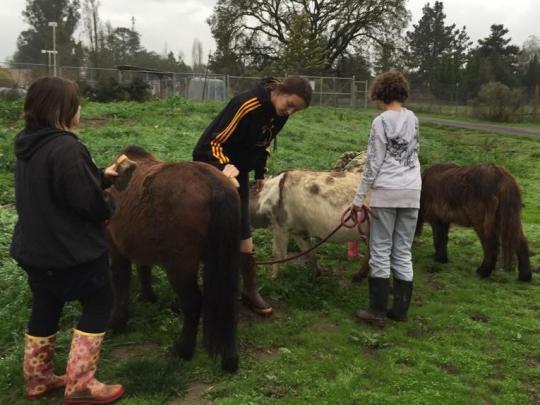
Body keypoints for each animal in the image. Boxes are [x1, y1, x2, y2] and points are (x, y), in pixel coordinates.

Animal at [105, 147, 240, 370]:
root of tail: (215, 186)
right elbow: (143, 269)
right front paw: (148, 296)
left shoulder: (116, 246)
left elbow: (121, 282)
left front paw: (116, 322)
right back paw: (229, 358)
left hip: (179, 266)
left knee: (193, 302)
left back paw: (182, 350)